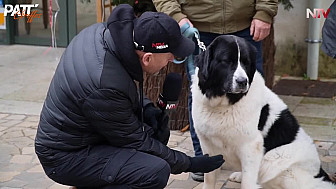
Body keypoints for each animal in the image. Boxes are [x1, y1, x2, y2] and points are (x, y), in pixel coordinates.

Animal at [190, 35, 334, 189]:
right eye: (227, 61)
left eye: (246, 63)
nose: (242, 81)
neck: (223, 103)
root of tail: (320, 173)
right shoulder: (207, 144)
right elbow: (209, 176)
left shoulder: (251, 145)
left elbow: (248, 182)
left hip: (277, 162)